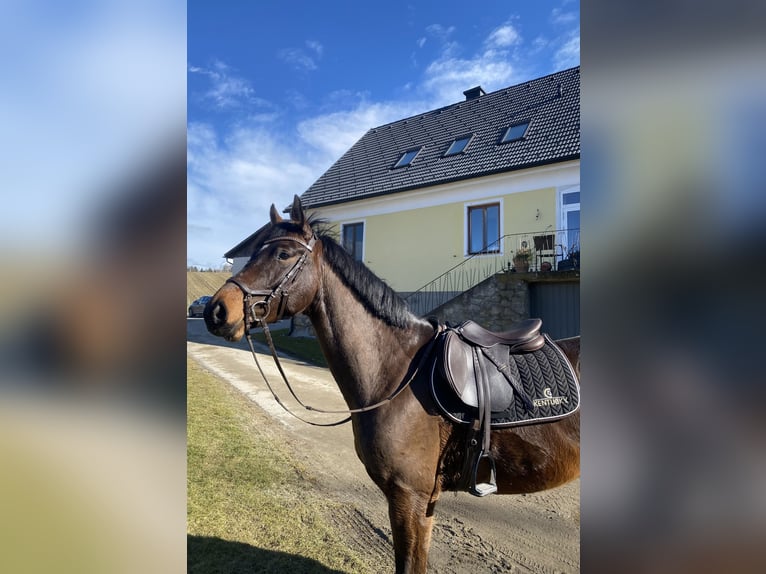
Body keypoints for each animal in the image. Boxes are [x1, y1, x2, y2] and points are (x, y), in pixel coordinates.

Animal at [204, 196, 580, 574]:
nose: (216, 311)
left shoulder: (409, 496)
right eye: (253, 253)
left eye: (282, 254)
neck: (396, 373)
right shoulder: (416, 500)